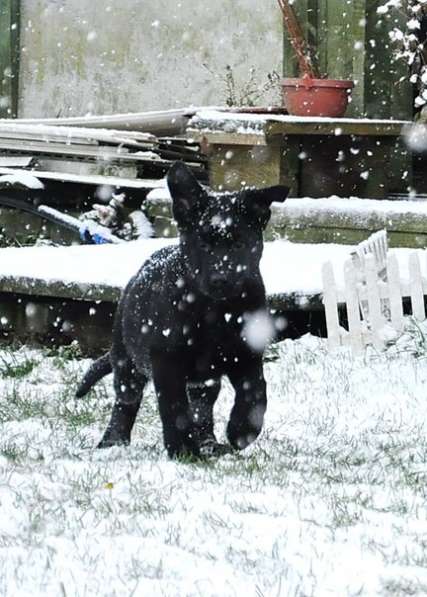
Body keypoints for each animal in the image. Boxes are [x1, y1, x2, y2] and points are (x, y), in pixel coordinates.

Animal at [77, 161, 290, 458]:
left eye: (238, 243)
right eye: (202, 244)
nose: (220, 279)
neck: (216, 311)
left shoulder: (248, 353)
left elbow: (256, 391)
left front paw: (241, 431)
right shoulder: (167, 361)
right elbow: (174, 408)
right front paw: (183, 450)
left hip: (204, 381)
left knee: (203, 407)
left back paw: (209, 443)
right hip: (126, 359)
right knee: (126, 401)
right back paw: (113, 441)